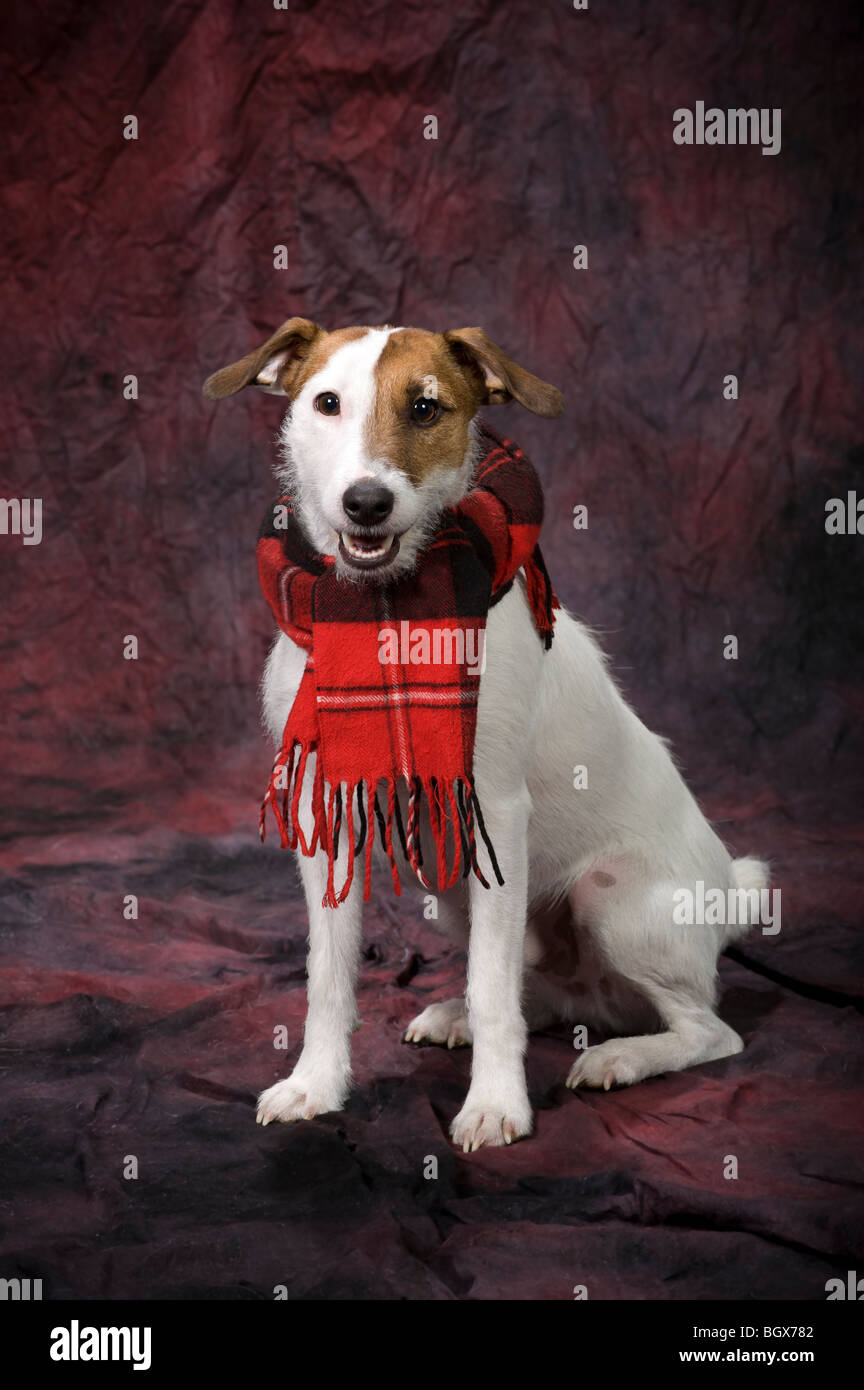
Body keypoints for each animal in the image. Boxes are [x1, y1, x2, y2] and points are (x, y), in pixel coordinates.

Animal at [204, 322, 772, 1150]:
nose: (366, 502)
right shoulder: (328, 815)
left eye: (426, 407)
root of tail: (729, 891)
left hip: (616, 901)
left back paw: (622, 1056)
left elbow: (493, 983)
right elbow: (329, 976)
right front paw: (318, 1083)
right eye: (327, 402)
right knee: (553, 995)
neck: (387, 612)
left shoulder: (494, 814)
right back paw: (466, 1017)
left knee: (705, 1029)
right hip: (453, 896)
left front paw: (497, 1104)